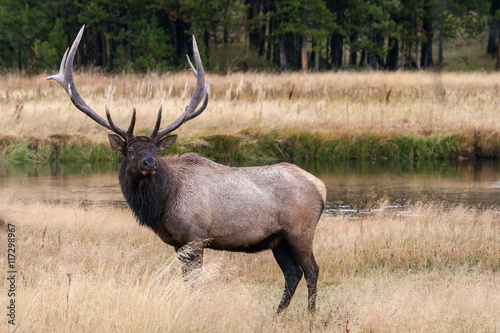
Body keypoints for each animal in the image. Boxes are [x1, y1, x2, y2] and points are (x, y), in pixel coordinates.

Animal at [48, 26, 326, 314]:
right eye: (131, 151)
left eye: (157, 150)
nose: (150, 163)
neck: (161, 204)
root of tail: (321, 187)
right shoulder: (178, 243)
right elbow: (186, 280)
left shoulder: (195, 236)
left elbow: (194, 281)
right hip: (278, 240)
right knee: (292, 273)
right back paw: (277, 314)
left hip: (300, 231)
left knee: (312, 270)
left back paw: (310, 314)